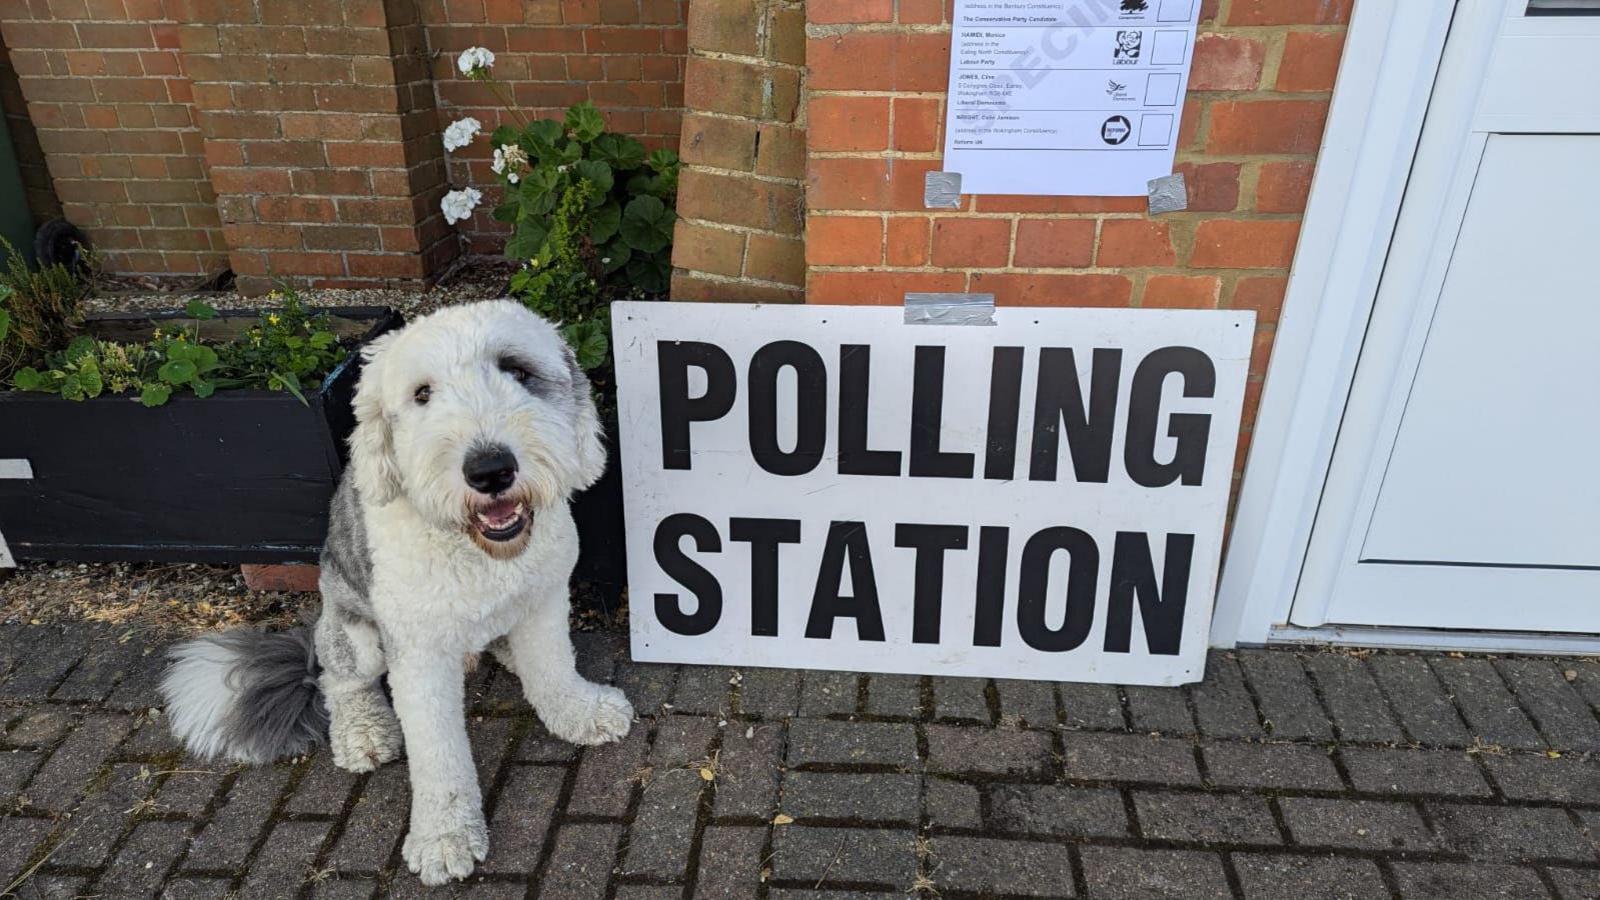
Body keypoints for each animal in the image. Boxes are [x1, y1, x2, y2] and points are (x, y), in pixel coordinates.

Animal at [160, 297, 630, 877]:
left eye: (518, 371)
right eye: (422, 394)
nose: (490, 469)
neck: (478, 551)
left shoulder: (543, 599)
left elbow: (553, 667)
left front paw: (578, 712)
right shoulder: (419, 655)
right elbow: (437, 752)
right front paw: (445, 836)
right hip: (352, 631)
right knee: (338, 681)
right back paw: (362, 731)